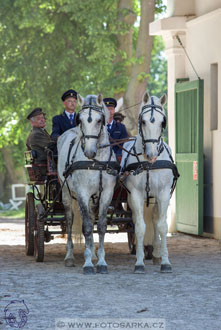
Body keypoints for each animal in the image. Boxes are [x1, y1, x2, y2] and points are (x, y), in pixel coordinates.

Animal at [57, 94, 118, 274]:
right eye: (81, 120)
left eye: (99, 120)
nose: (89, 152)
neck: (96, 162)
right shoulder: (82, 193)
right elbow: (87, 228)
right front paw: (88, 264)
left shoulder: (106, 193)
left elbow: (102, 226)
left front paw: (101, 262)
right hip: (66, 192)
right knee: (70, 220)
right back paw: (70, 256)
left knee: (90, 217)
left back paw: (92, 252)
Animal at [120, 91, 179, 274]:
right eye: (143, 121)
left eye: (163, 122)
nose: (151, 154)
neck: (148, 164)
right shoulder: (136, 195)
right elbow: (139, 226)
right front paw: (139, 262)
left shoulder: (164, 194)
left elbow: (162, 226)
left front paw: (165, 262)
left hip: (155, 198)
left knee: (154, 219)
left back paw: (156, 253)